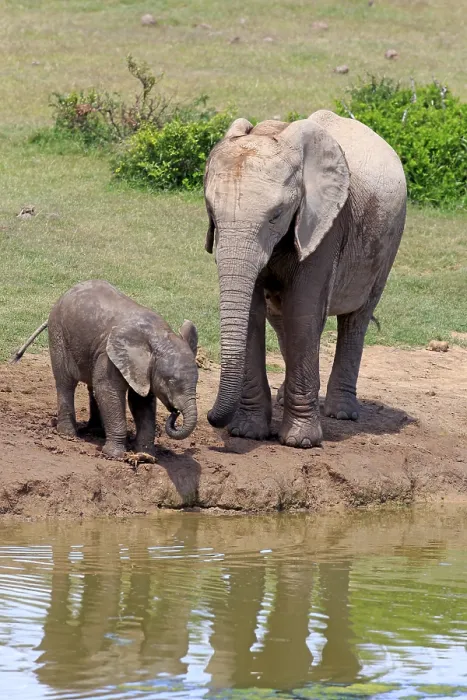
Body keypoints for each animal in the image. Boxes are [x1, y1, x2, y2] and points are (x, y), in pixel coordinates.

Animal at [13, 280, 198, 458]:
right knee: (66, 383)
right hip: (58, 335)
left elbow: (141, 402)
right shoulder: (108, 356)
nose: (174, 413)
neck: (158, 336)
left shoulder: (143, 368)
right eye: (170, 381)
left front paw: (145, 455)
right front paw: (115, 455)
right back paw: (69, 435)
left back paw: (96, 431)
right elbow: (109, 391)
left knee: (91, 385)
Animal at [204, 110, 406, 448]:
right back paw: (284, 399)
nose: (208, 417)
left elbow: (304, 310)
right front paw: (247, 432)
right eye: (211, 212)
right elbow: (254, 314)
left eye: (276, 215)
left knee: (357, 318)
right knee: (279, 317)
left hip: (390, 241)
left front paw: (300, 442)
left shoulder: (325, 223)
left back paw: (341, 413)